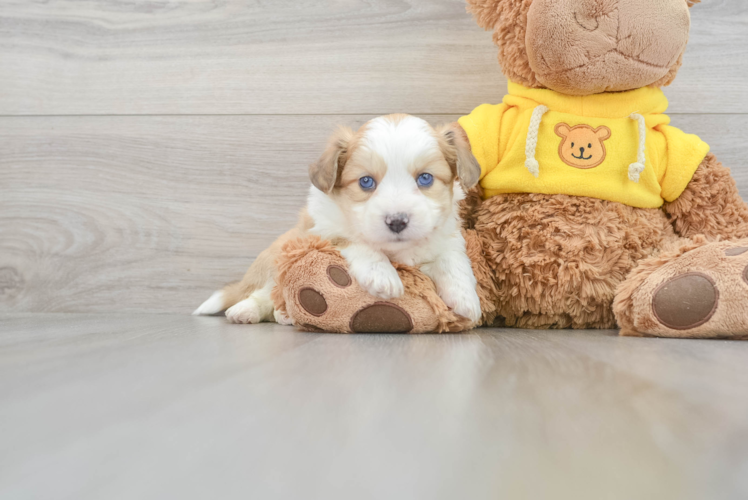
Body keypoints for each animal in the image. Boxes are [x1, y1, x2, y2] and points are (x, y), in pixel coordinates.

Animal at [193, 113, 482, 324]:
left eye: (425, 178)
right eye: (366, 182)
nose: (397, 222)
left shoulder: (447, 235)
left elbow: (453, 259)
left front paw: (466, 298)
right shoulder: (322, 229)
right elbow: (354, 240)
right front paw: (383, 275)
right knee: (264, 291)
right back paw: (249, 311)